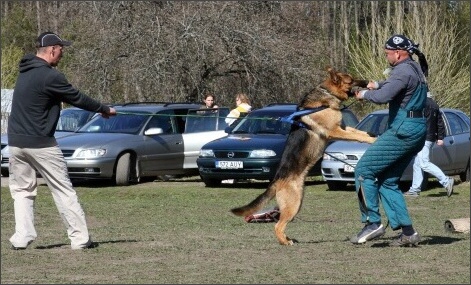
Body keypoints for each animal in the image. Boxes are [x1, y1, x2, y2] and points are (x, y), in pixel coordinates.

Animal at [230, 66, 378, 244]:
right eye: (351, 80)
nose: (367, 82)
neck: (326, 94)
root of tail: (276, 180)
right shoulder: (334, 131)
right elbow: (358, 136)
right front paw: (371, 139)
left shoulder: (343, 128)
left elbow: (359, 132)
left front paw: (373, 135)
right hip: (293, 205)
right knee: (277, 226)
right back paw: (285, 242)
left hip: (297, 202)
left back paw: (288, 238)